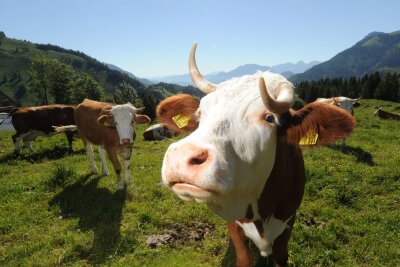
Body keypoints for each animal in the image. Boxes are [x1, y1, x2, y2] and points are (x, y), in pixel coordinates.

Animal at [155, 44, 354, 267]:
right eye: (199, 115)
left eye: (269, 117)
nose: (180, 157)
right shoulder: (235, 222)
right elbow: (244, 257)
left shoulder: (289, 219)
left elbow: (281, 256)